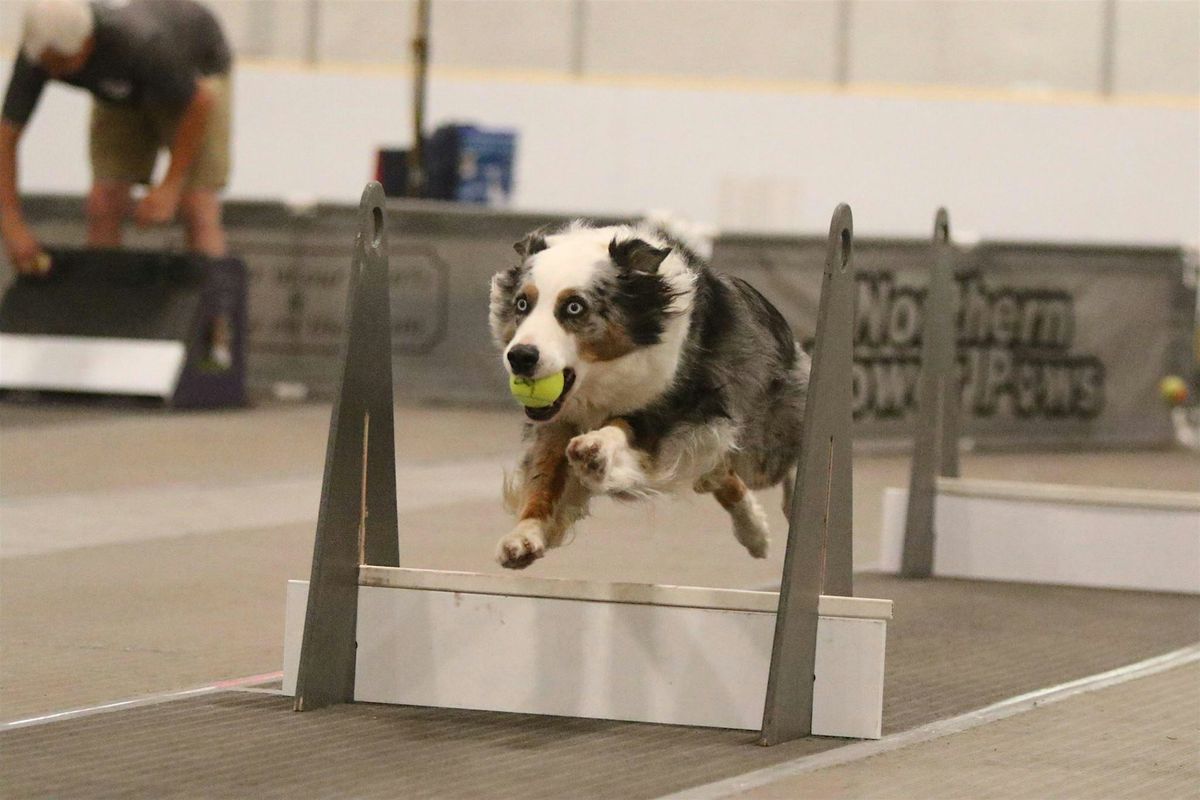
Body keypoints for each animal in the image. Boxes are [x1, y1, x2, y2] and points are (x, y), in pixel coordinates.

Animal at [489, 219, 816, 568]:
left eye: (574, 307)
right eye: (522, 304)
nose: (520, 357)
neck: (601, 377)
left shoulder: (682, 404)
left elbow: (624, 425)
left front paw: (596, 449)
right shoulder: (557, 419)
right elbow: (544, 476)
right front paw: (525, 534)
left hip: (760, 443)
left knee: (776, 459)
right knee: (719, 475)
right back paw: (755, 534)